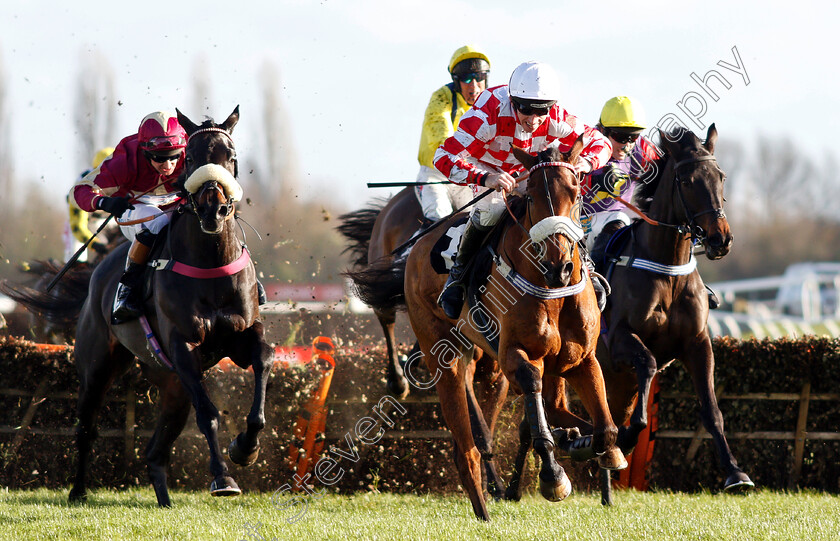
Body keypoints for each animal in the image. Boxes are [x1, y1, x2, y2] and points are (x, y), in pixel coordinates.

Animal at [348, 138, 624, 520]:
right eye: (532, 196)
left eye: (575, 191)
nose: (560, 266)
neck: (552, 289)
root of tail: (418, 245)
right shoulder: (514, 355)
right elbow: (532, 403)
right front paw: (553, 475)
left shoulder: (581, 359)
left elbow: (607, 431)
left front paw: (590, 446)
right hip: (445, 356)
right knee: (466, 446)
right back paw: (483, 508)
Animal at [596, 124, 756, 504]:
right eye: (686, 180)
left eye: (720, 176)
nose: (720, 239)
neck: (667, 269)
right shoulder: (621, 340)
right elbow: (648, 365)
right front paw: (628, 438)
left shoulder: (697, 344)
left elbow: (712, 411)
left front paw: (735, 473)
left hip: (615, 378)